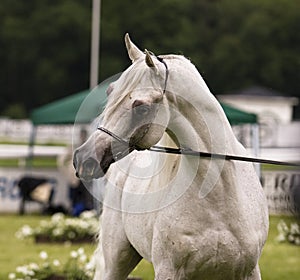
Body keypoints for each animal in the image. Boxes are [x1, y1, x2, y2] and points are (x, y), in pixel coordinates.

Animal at [73, 34, 270, 278]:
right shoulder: (169, 270)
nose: (84, 157)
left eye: (141, 107)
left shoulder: (248, 271)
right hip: (116, 262)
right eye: (110, 92)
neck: (219, 193)